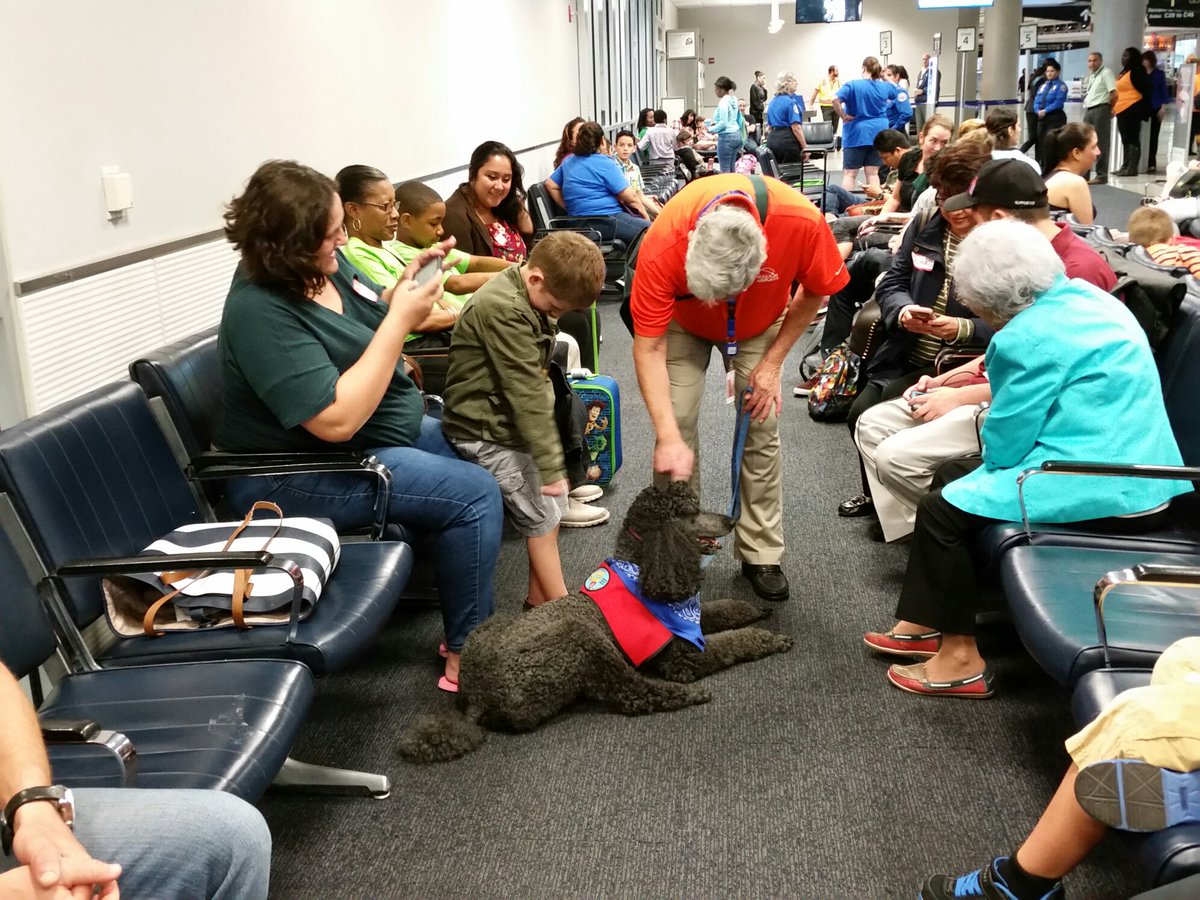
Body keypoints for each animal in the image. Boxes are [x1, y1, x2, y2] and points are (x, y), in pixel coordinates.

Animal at [398, 482, 792, 763]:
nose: (731, 521)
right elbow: (734, 642)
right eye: (690, 512)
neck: (642, 571)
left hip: (493, 626)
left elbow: (722, 609)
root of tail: (479, 699)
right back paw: (689, 696)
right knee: (633, 692)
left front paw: (753, 610)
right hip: (581, 640)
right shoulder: (681, 657)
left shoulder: (690, 616)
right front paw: (770, 638)